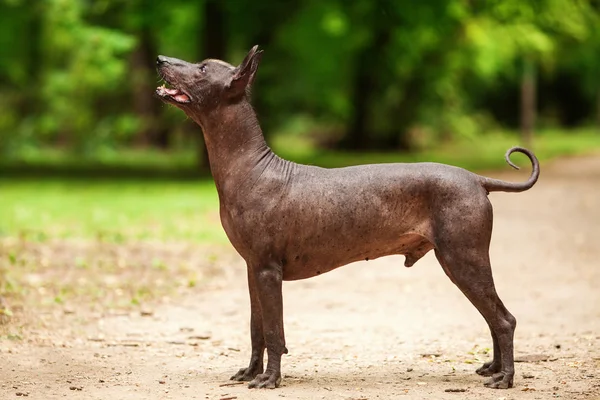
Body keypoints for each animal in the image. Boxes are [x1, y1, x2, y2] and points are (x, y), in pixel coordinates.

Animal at [155, 45, 540, 390]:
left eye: (202, 68)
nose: (160, 59)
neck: (252, 168)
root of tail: (477, 179)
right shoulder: (253, 270)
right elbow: (256, 330)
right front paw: (251, 372)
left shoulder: (267, 271)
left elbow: (274, 332)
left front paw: (270, 379)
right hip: (463, 262)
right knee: (493, 316)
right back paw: (493, 368)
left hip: (463, 258)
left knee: (504, 319)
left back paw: (505, 378)